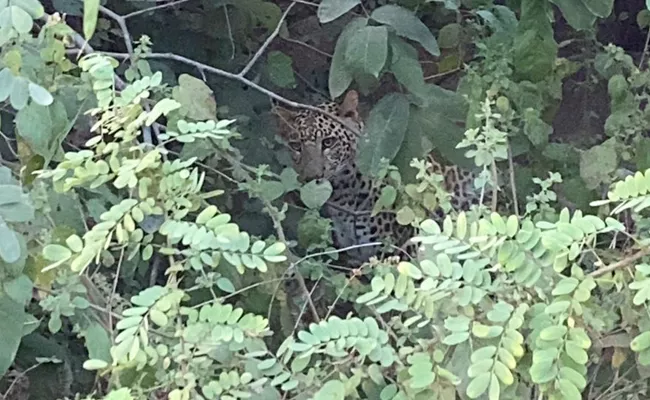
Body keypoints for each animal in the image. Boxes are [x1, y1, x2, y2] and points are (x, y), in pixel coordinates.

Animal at [274, 90, 502, 266]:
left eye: (328, 142)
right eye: (296, 146)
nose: (312, 177)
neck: (343, 192)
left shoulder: (392, 250)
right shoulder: (356, 254)